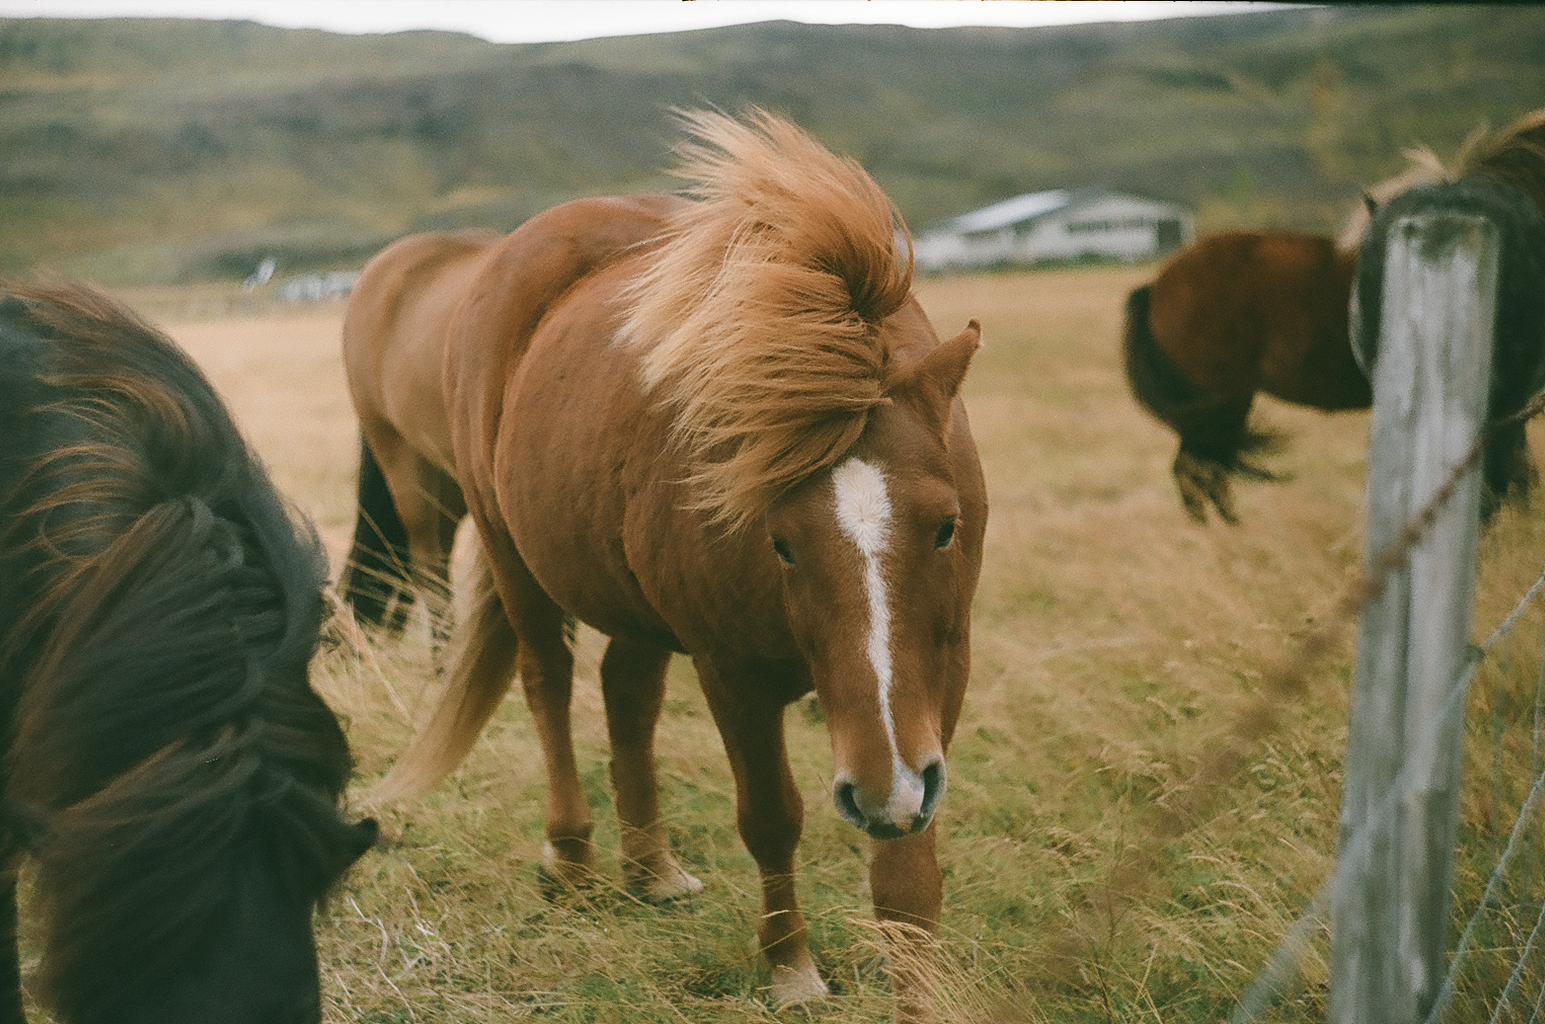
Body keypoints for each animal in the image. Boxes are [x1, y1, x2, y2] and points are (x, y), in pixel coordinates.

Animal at [356, 108, 988, 1019]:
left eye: (944, 528)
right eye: (779, 540)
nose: (882, 789)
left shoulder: (940, 675)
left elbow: (908, 868)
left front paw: (918, 993)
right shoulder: (733, 674)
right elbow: (770, 816)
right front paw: (789, 968)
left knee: (627, 693)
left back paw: (650, 867)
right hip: (505, 549)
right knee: (549, 681)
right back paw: (574, 856)